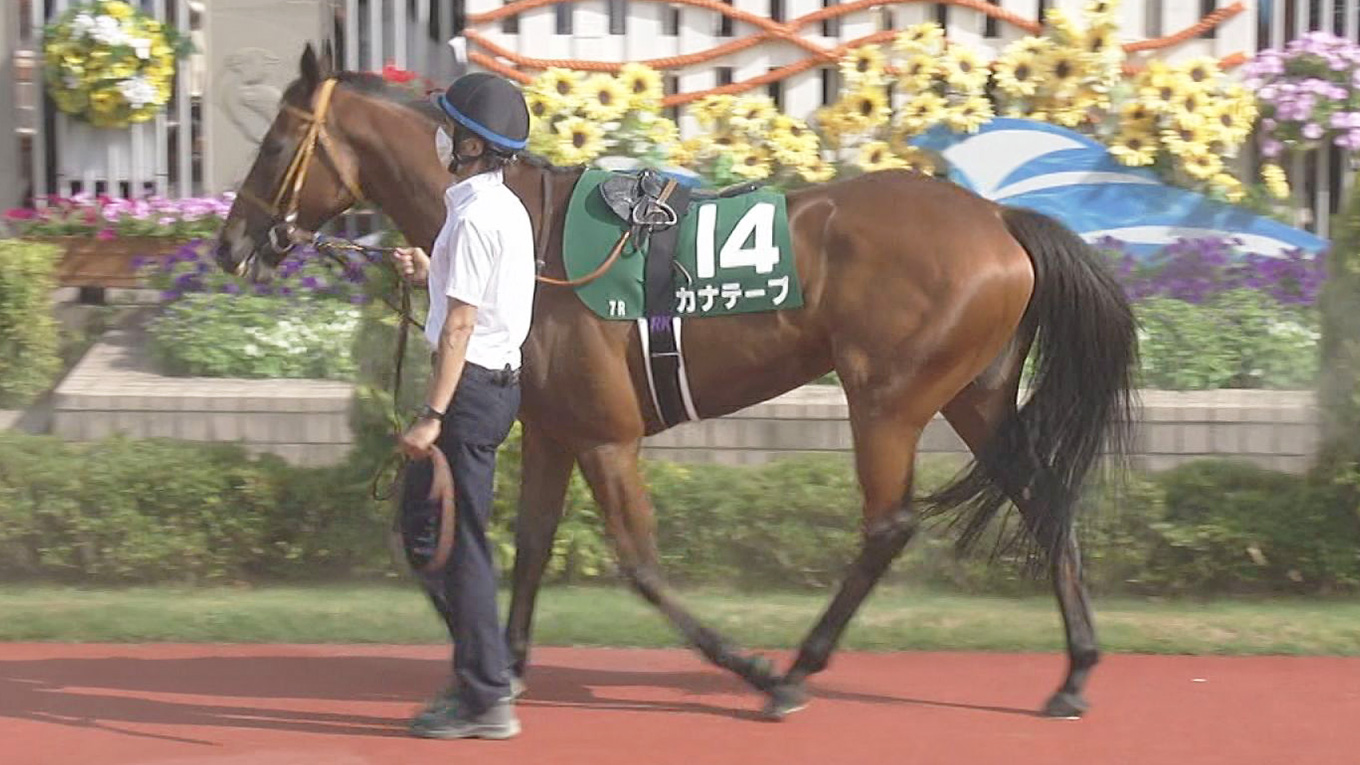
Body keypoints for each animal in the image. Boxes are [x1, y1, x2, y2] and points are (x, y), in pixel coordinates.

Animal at [215, 43, 1138, 721]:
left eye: (273, 143)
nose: (230, 244)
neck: (531, 236)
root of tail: (998, 217)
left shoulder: (606, 436)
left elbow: (641, 564)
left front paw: (750, 667)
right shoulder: (552, 431)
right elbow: (532, 546)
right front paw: (502, 666)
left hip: (887, 399)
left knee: (890, 522)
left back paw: (798, 668)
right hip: (974, 394)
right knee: (1041, 494)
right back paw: (1076, 671)